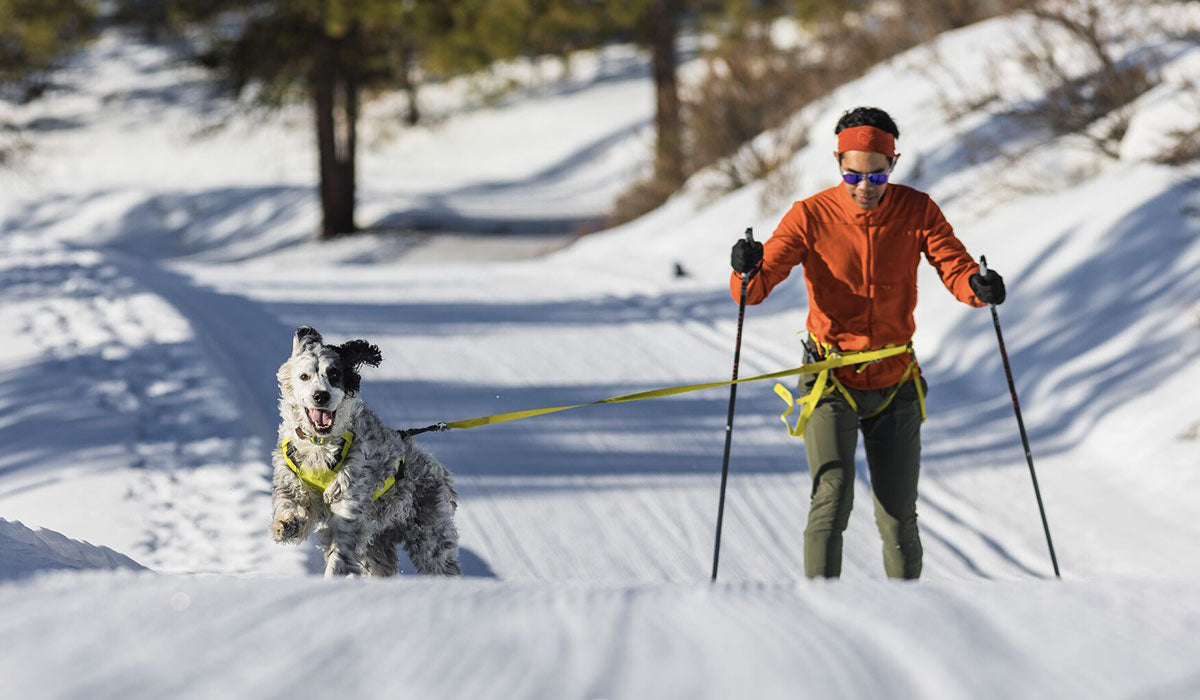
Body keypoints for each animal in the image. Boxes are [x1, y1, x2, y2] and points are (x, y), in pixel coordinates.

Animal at [270, 326, 460, 578]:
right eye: (304, 376)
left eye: (334, 374)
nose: (321, 395)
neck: (320, 445)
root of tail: (440, 470)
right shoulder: (293, 480)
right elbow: (291, 503)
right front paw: (287, 525)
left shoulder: (349, 504)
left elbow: (340, 551)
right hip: (378, 545)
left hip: (430, 536)